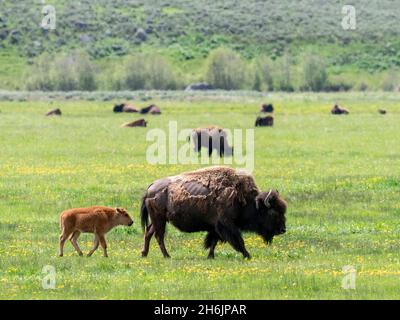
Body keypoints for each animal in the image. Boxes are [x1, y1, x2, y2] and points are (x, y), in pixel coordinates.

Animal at [141, 166, 288, 258]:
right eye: (273, 213)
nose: (283, 230)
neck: (244, 198)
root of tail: (150, 188)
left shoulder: (215, 227)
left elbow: (213, 242)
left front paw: (210, 256)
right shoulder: (226, 225)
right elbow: (238, 241)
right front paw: (247, 255)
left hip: (158, 220)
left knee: (149, 233)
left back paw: (144, 254)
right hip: (159, 219)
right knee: (159, 236)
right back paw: (167, 256)